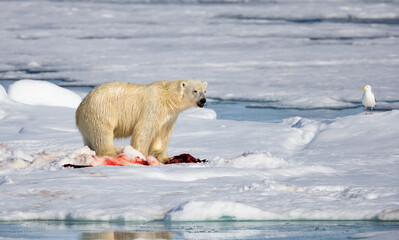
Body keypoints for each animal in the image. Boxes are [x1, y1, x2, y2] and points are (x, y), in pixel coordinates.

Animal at [75, 79, 208, 163]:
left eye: (205, 91)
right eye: (195, 91)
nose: (203, 100)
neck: (168, 96)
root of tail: (80, 109)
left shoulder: (169, 116)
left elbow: (162, 134)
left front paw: (164, 158)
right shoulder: (154, 106)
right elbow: (144, 129)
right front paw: (140, 155)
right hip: (101, 112)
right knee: (103, 134)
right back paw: (111, 153)